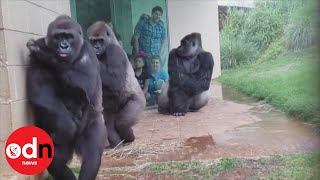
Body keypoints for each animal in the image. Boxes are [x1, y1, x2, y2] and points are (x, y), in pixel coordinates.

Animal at [26, 15, 106, 180]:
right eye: (58, 37)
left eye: (69, 37)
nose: (63, 46)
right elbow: (41, 93)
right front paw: (67, 127)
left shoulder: (88, 51)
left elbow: (87, 84)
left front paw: (47, 56)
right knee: (55, 159)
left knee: (93, 156)